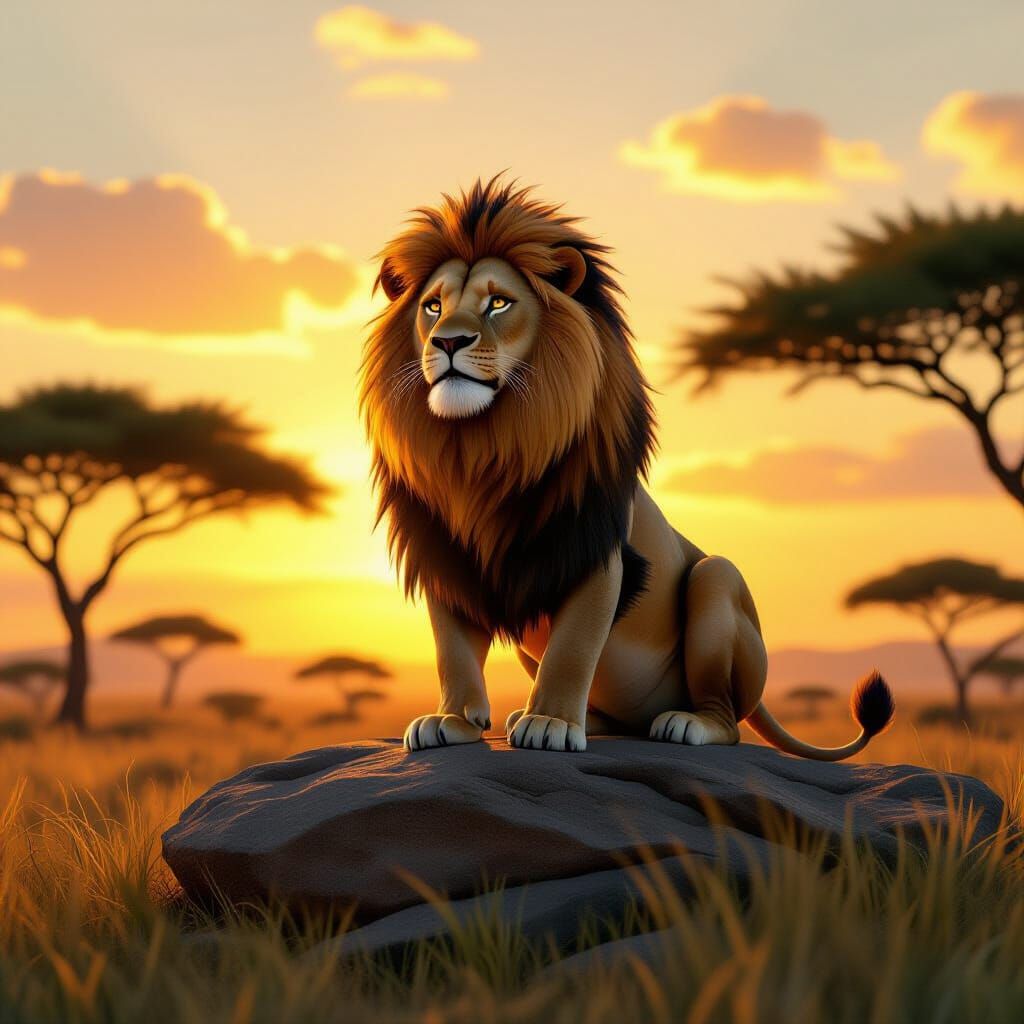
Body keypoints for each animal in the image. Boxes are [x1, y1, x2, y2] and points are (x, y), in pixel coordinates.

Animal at [360, 177, 894, 758]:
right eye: (433, 307)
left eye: (498, 302)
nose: (448, 341)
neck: (483, 452)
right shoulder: (445, 559)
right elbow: (452, 651)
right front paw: (452, 720)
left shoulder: (596, 554)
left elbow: (572, 648)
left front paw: (550, 724)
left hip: (716, 579)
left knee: (726, 718)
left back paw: (681, 723)